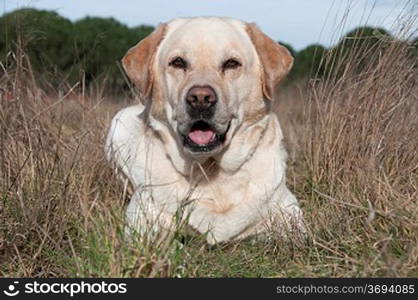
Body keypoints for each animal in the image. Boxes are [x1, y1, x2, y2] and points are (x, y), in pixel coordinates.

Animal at [106, 17, 306, 244]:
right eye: (178, 62)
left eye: (231, 63)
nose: (200, 98)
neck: (211, 170)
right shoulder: (140, 223)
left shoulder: (291, 215)